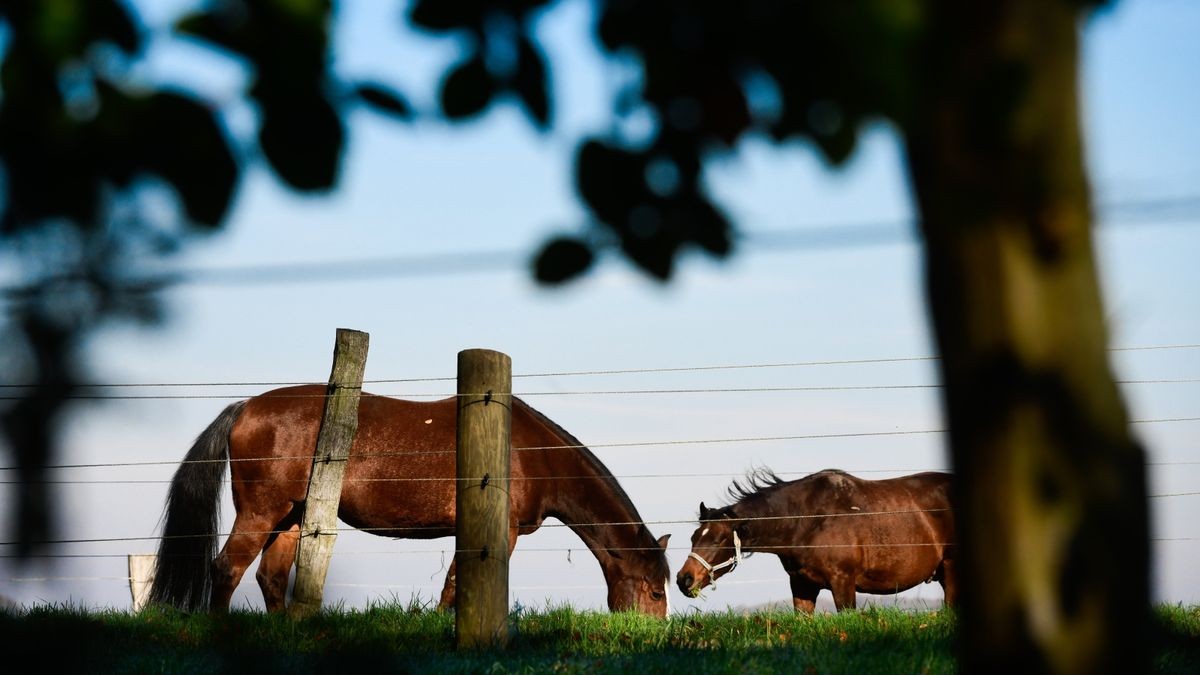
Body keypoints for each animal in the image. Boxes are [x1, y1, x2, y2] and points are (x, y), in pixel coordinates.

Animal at [146, 384, 672, 614]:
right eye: (654, 590)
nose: (648, 635)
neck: (526, 451)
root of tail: (244, 408)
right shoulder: (497, 532)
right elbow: (459, 586)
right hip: (260, 512)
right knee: (226, 570)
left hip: (292, 518)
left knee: (270, 578)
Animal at [676, 468, 955, 610]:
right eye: (694, 537)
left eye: (719, 539)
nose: (684, 579)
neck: (808, 520)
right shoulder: (802, 585)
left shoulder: (843, 583)